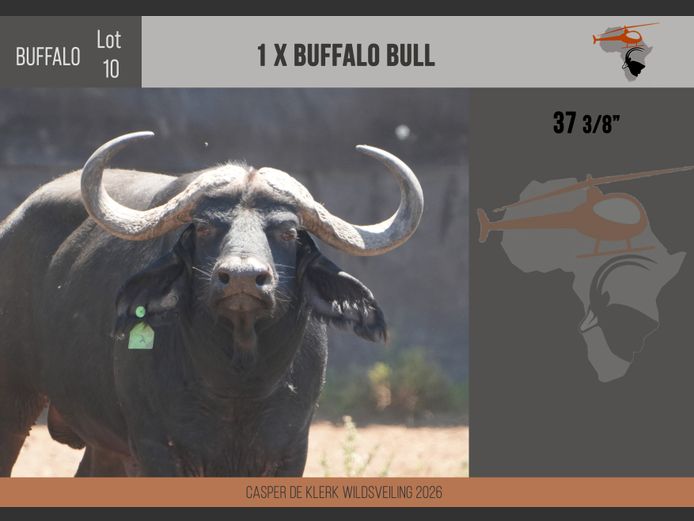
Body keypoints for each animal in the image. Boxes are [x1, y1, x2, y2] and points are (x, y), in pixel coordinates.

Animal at [0, 131, 423, 476]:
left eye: (288, 231)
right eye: (204, 227)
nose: (242, 278)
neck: (237, 382)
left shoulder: (290, 451)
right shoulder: (157, 450)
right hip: (15, 402)